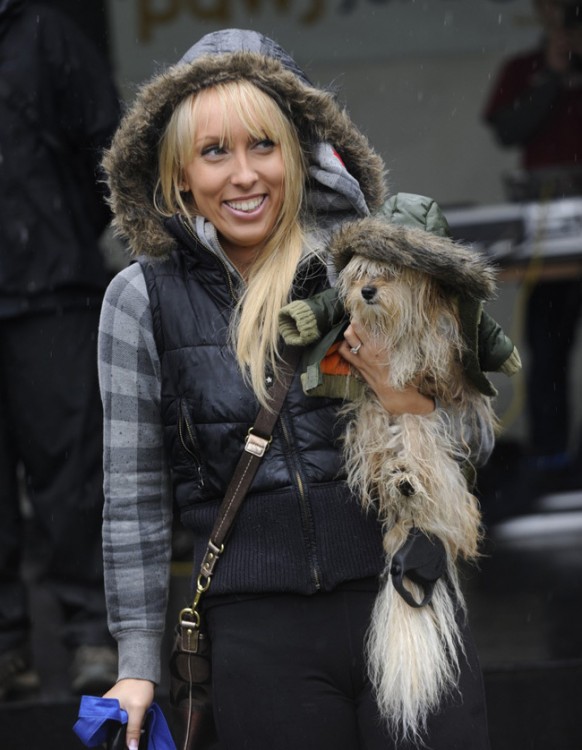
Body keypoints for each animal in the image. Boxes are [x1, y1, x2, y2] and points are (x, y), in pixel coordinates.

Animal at [330, 219, 500, 748]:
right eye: (360, 273)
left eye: (388, 273)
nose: (366, 291)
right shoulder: (368, 393)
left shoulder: (438, 378)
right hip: (369, 421)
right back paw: (396, 483)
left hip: (428, 443)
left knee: (427, 460)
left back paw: (409, 484)